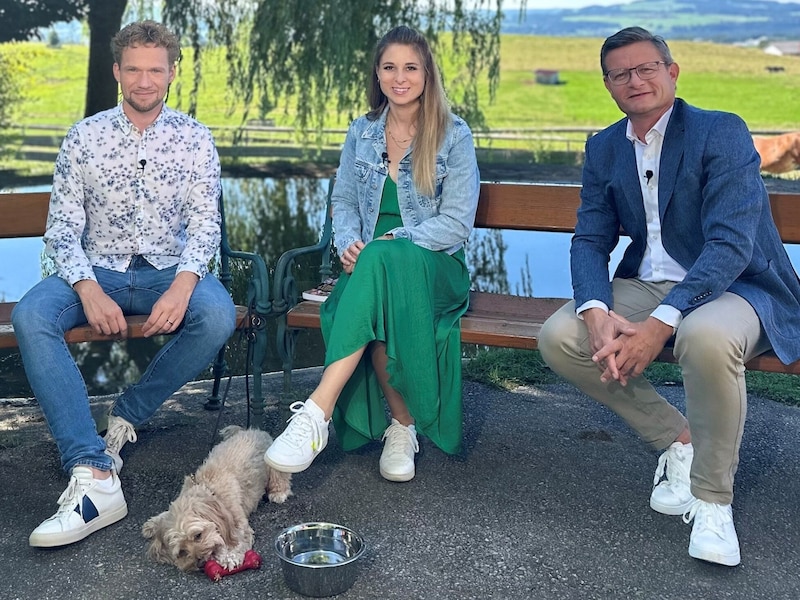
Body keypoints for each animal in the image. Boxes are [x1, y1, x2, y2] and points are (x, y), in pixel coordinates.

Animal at [142, 426, 292, 572]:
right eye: (182, 550)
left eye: (198, 535)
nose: (200, 563)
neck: (209, 492)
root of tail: (252, 430)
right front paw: (153, 523)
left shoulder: (239, 525)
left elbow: (234, 541)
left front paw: (229, 557)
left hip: (274, 463)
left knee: (280, 477)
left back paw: (278, 492)